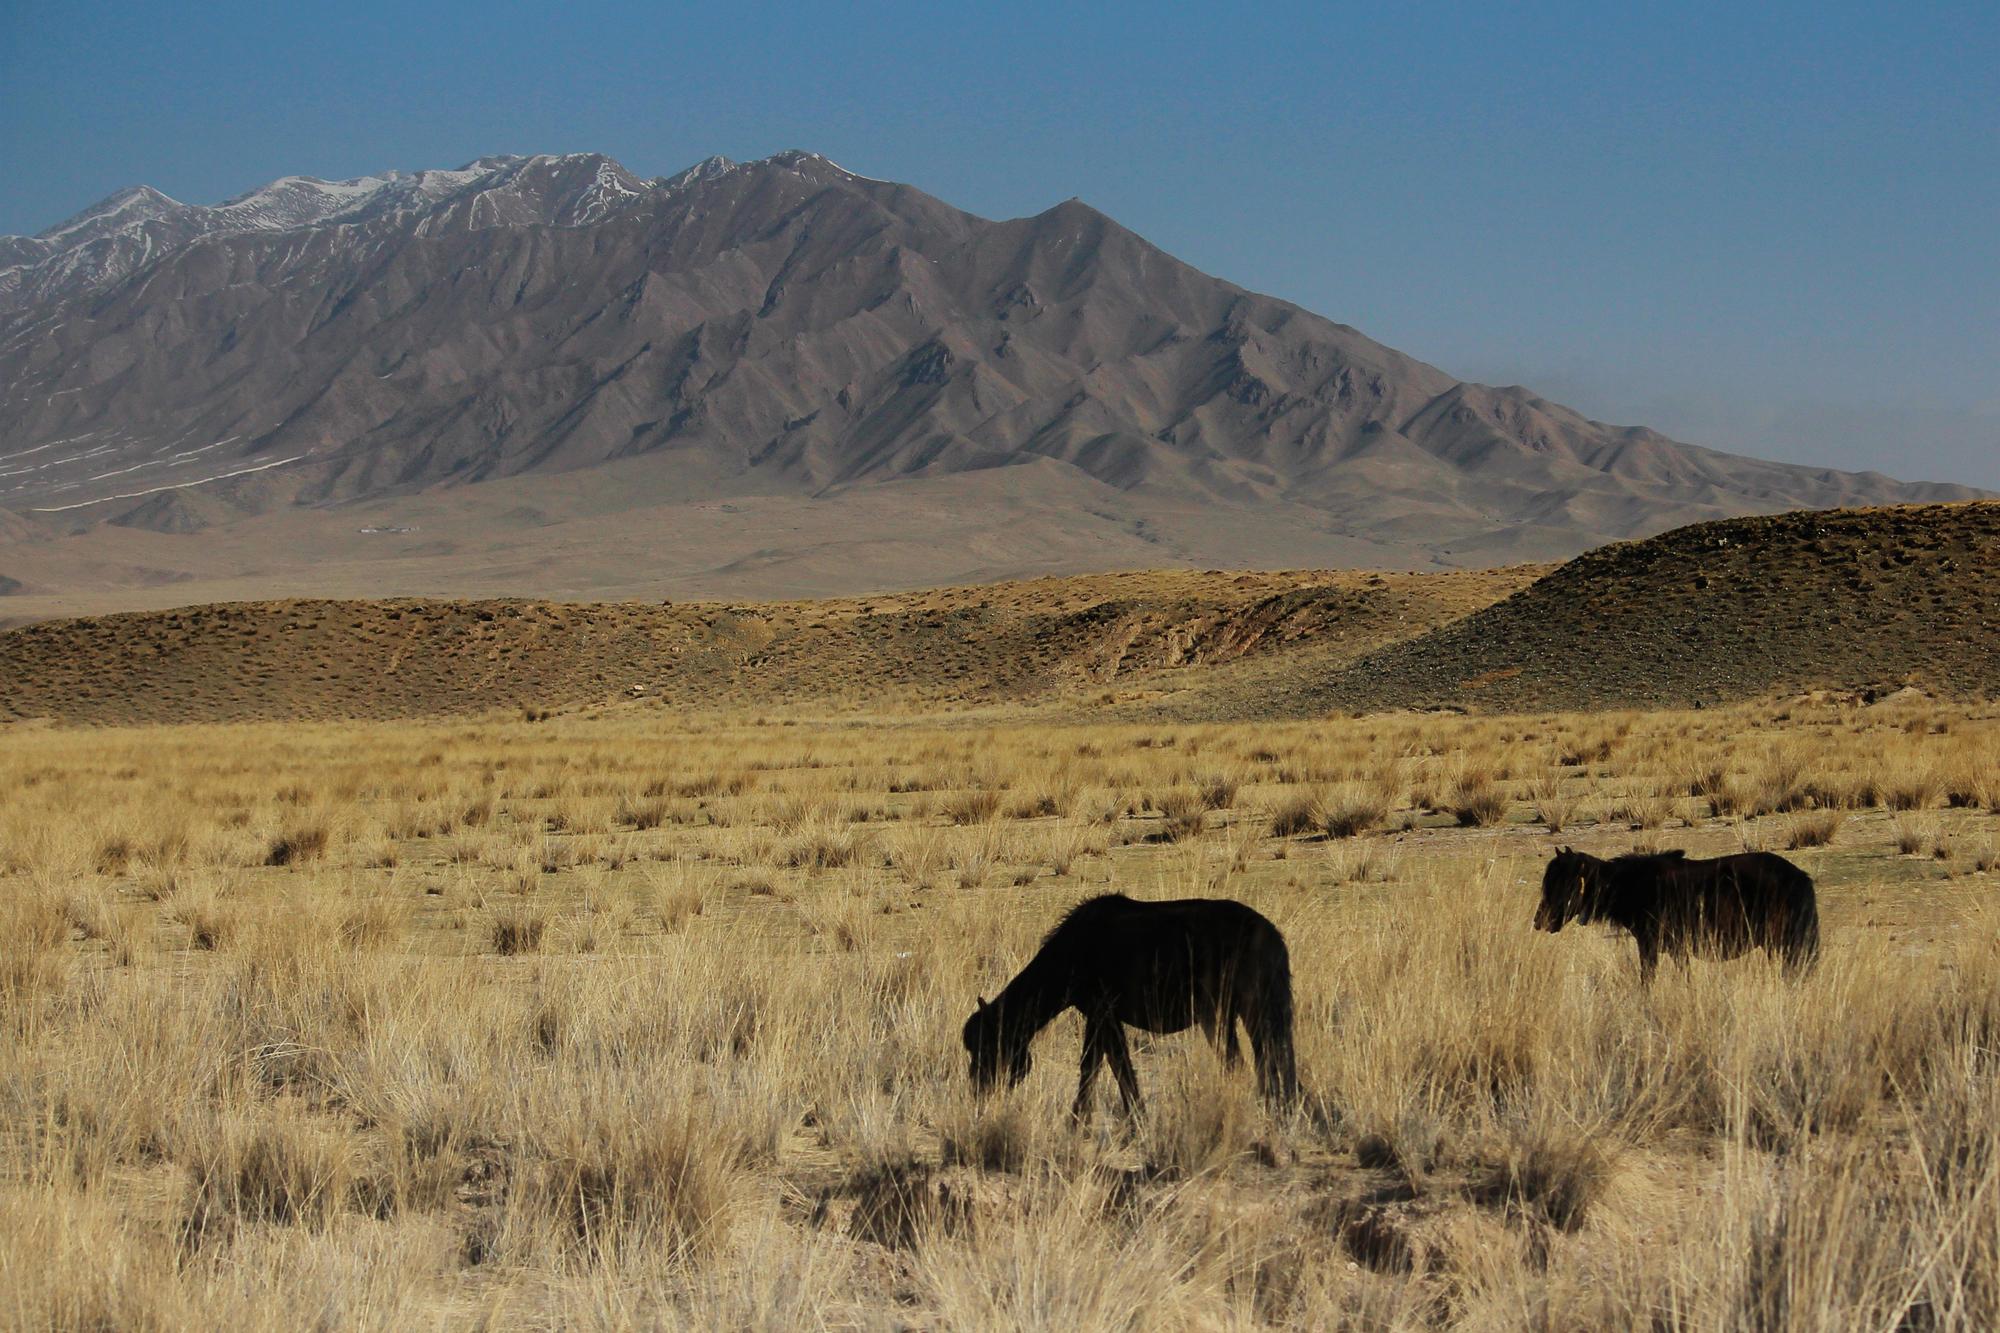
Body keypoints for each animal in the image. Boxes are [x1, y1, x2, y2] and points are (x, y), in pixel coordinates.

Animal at [964, 892, 1304, 1112]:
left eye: (986, 1048)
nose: (977, 1090)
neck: (1073, 949)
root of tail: (1270, 934)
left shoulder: (1103, 1013)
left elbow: (1108, 1065)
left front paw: (1106, 1119)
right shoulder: (1098, 1016)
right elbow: (1103, 1065)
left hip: (1234, 1012)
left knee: (1249, 1060)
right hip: (1247, 1012)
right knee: (1268, 1058)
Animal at [1536, 852, 1824, 976]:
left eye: (1559, 883)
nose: (1539, 921)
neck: (1632, 883)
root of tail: (1799, 876)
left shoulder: (1650, 946)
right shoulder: (1677, 950)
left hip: (1780, 943)